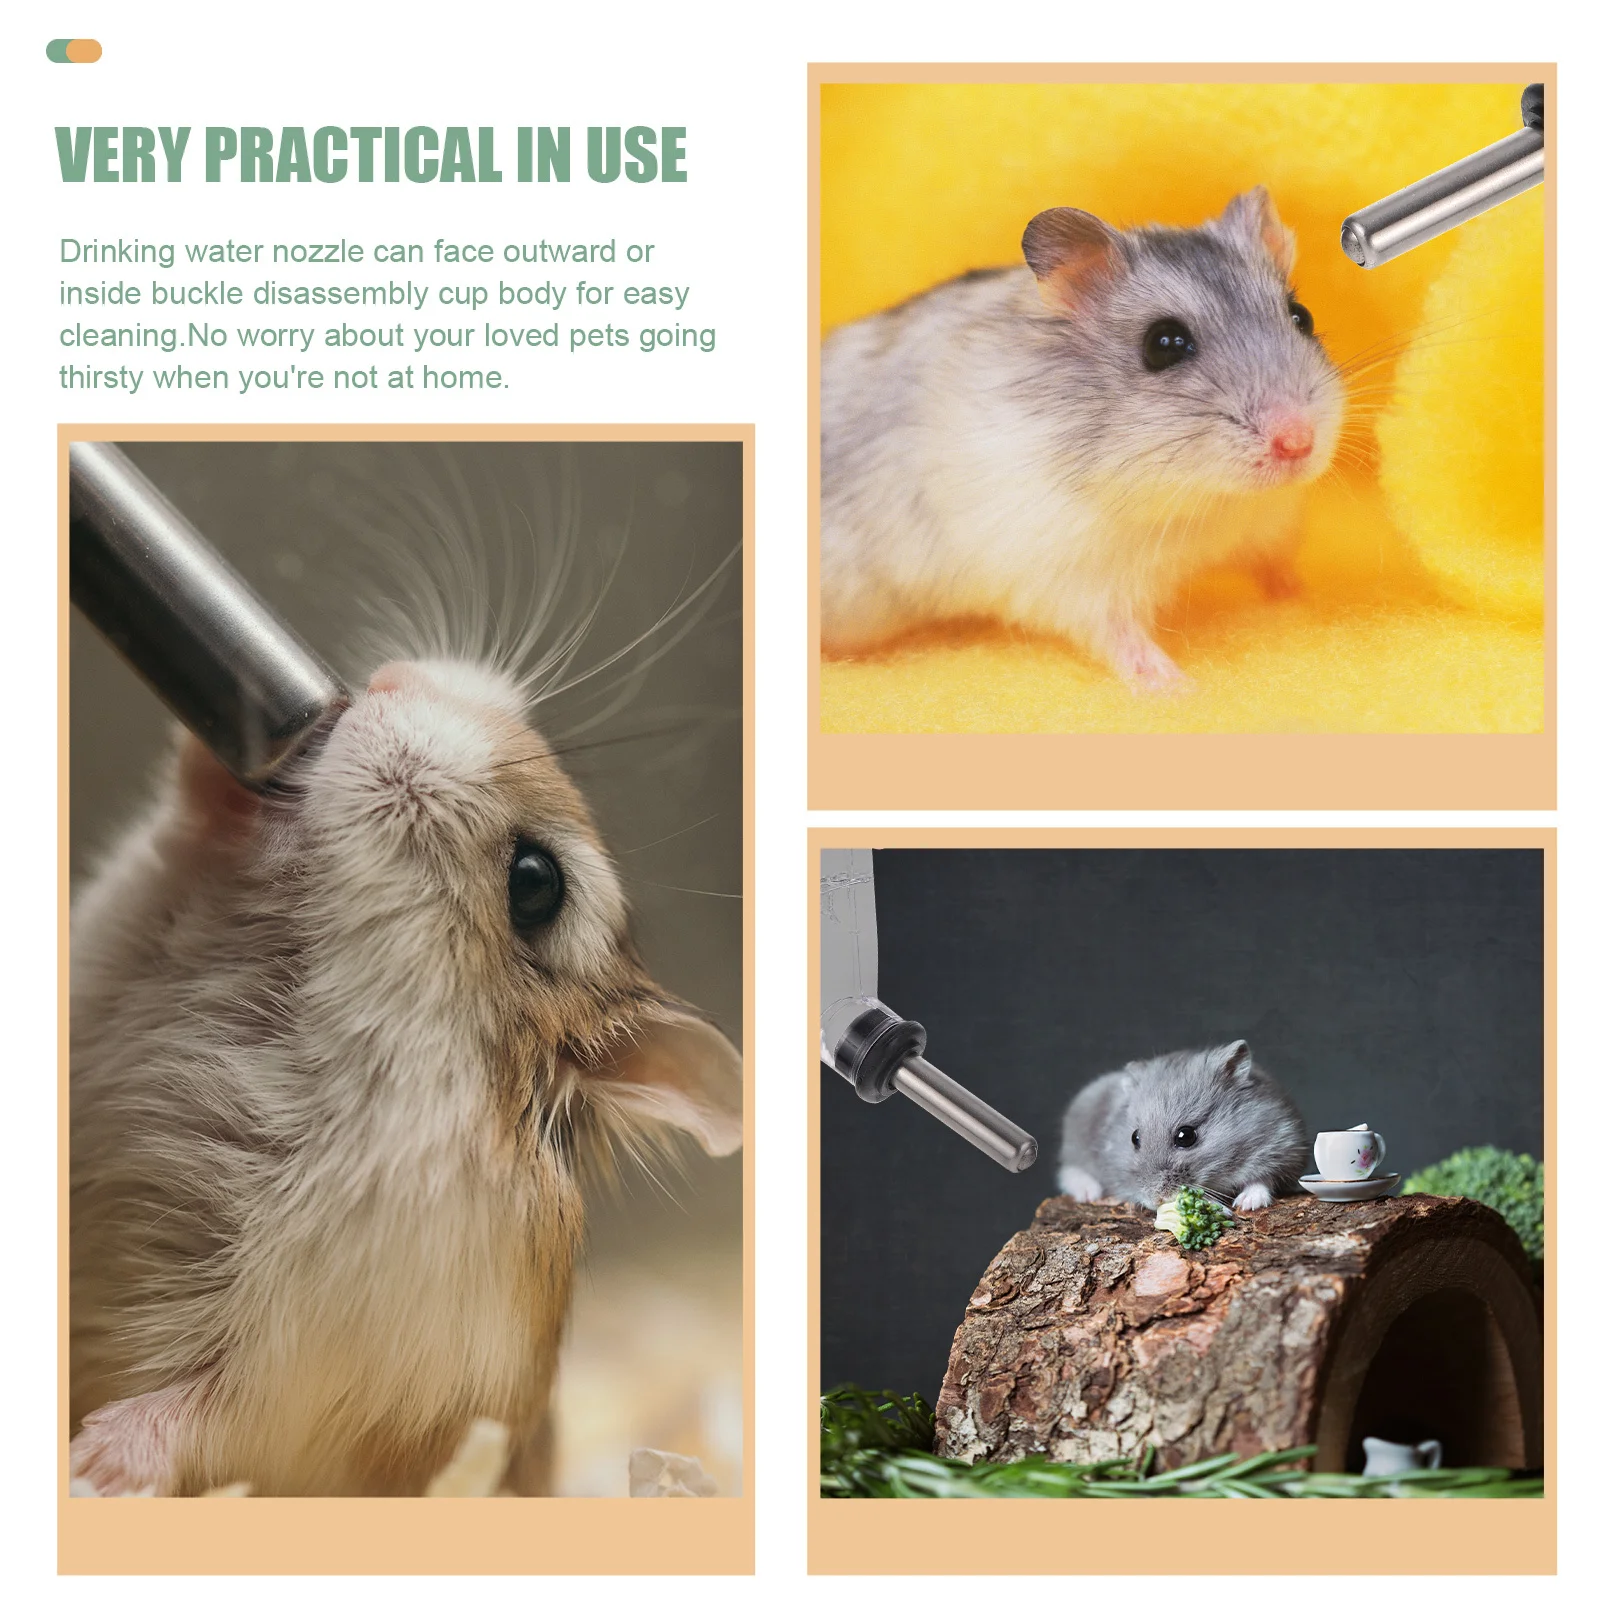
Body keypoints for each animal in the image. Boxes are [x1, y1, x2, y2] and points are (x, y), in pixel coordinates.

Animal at [69, 658, 742, 1497]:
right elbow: (161, 853)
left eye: (537, 882)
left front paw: (90, 1463)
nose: (391, 680)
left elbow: (214, 1412)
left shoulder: (324, 1362)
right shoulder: (118, 940)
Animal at [821, 189, 1346, 688]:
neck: (1206, 501)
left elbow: (1276, 567)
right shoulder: (1073, 576)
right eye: (1163, 344)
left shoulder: (1267, 524)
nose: (1298, 442)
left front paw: (1306, 599)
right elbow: (1119, 635)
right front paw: (1176, 688)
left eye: (1301, 316)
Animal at [1056, 1040, 1307, 1213]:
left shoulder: (1283, 1146)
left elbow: (1262, 1179)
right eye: (1134, 1138)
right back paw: (1089, 1193)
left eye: (1186, 1136)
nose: (1155, 1200)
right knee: (1070, 1169)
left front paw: (1247, 1204)